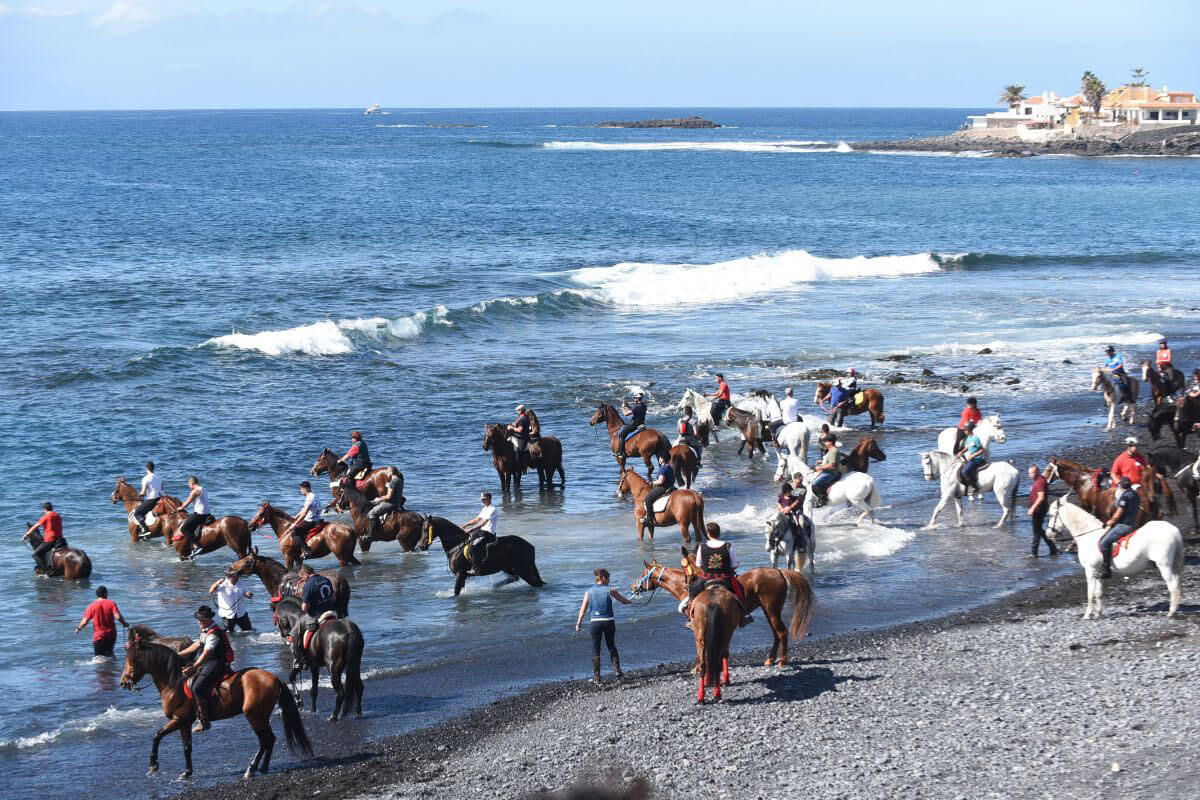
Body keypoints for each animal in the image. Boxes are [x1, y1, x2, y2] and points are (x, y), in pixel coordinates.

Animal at [118, 628, 309, 777]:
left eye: (131, 661)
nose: (123, 682)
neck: (174, 682)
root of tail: (274, 678)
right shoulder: (184, 723)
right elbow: (187, 747)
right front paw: (187, 772)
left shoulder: (179, 720)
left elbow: (157, 735)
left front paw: (153, 765)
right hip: (261, 716)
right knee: (270, 740)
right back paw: (263, 767)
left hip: (254, 716)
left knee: (265, 740)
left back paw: (251, 769)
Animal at [628, 561, 816, 666]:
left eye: (643, 574)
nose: (633, 587)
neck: (685, 588)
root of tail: (779, 571)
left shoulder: (698, 625)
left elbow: (700, 646)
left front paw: (698, 668)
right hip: (769, 611)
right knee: (776, 634)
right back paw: (770, 659)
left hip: (772, 609)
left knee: (782, 633)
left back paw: (782, 661)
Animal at [1046, 501, 1185, 618]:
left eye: (1051, 515)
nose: (1048, 534)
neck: (1088, 535)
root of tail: (1173, 530)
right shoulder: (1098, 571)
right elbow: (1098, 592)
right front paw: (1098, 613)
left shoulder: (1090, 569)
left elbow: (1090, 593)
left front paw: (1087, 615)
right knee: (1177, 583)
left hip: (1164, 565)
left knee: (1172, 585)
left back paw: (1171, 612)